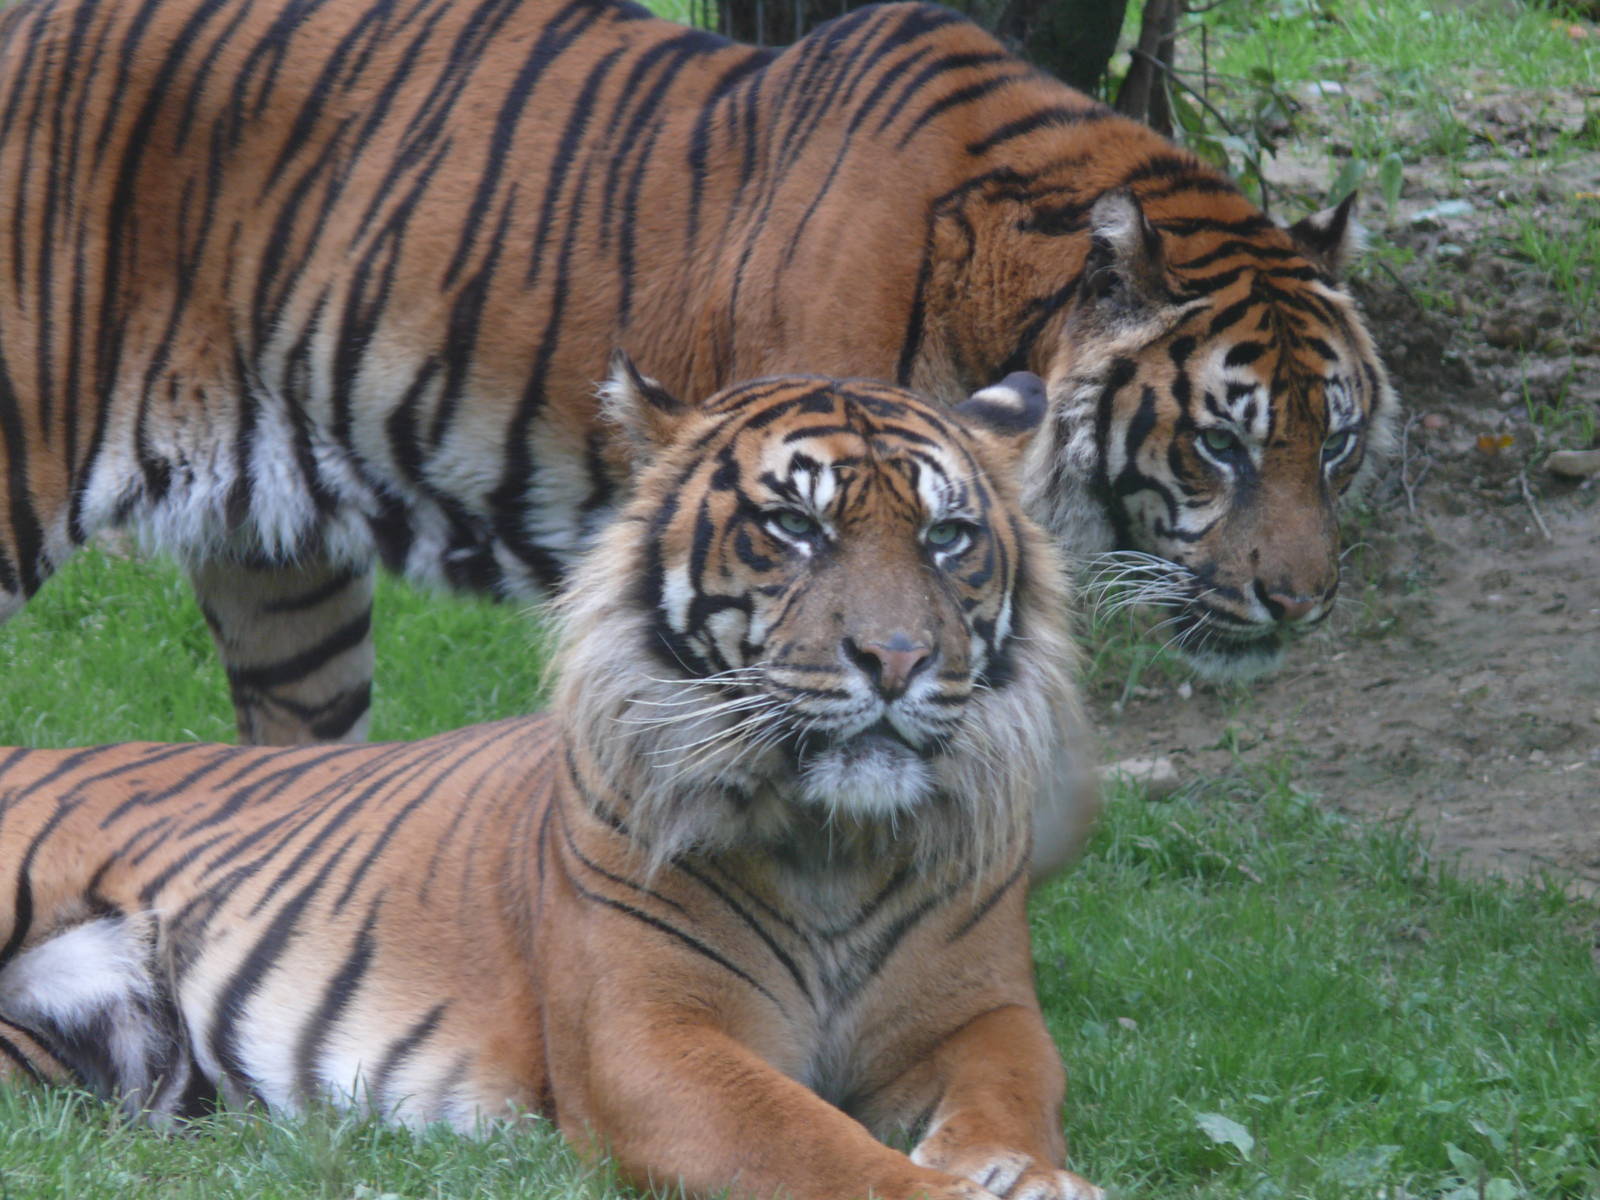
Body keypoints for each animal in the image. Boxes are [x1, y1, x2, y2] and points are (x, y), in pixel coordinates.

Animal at [0, 368, 1101, 1200]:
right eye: (793, 525)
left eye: (948, 539)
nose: (897, 657)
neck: (836, 839)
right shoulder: (646, 1040)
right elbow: (819, 1146)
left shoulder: (980, 1008)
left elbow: (1013, 1088)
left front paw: (1023, 1171)